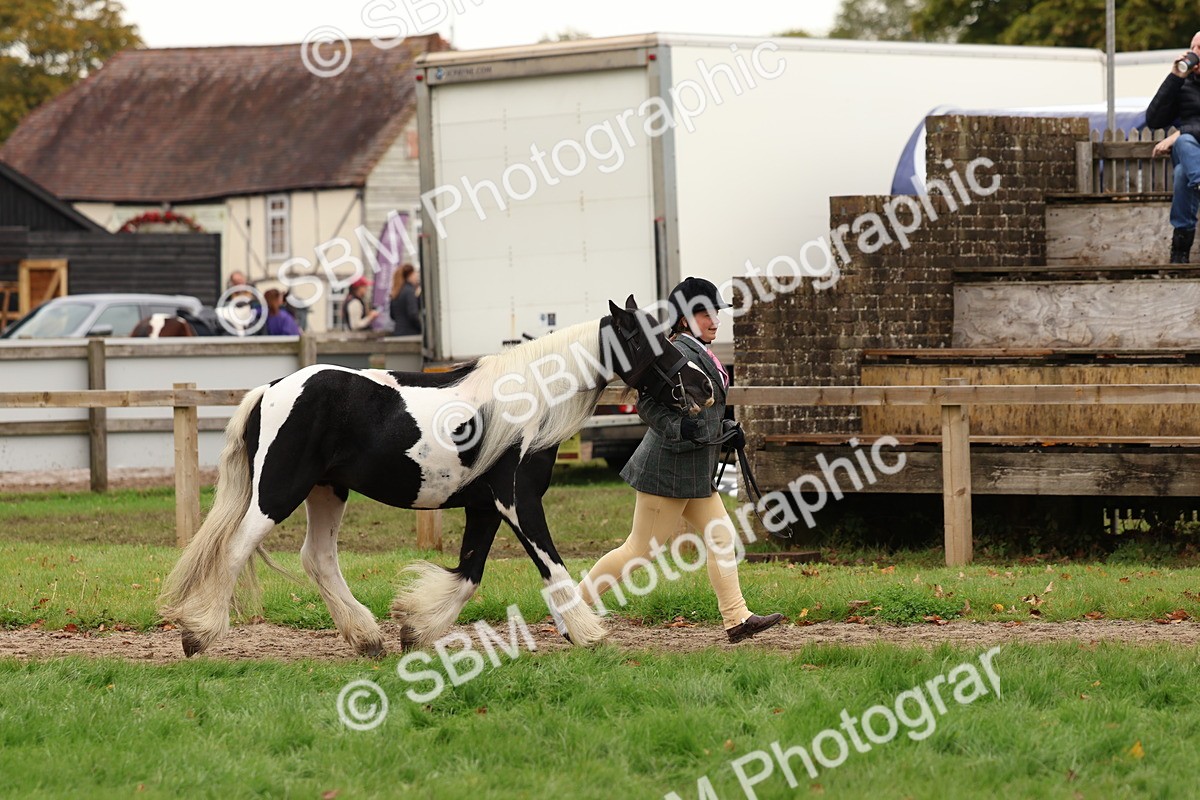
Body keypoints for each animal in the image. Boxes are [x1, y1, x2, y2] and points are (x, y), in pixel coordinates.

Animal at [158, 296, 715, 657]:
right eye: (650, 341)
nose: (704, 387)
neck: (524, 405)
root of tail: (271, 388)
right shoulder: (517, 502)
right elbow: (552, 568)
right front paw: (588, 633)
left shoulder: (484, 507)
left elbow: (468, 576)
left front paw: (413, 629)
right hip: (279, 490)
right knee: (236, 549)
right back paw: (199, 635)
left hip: (327, 491)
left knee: (318, 559)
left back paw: (368, 639)